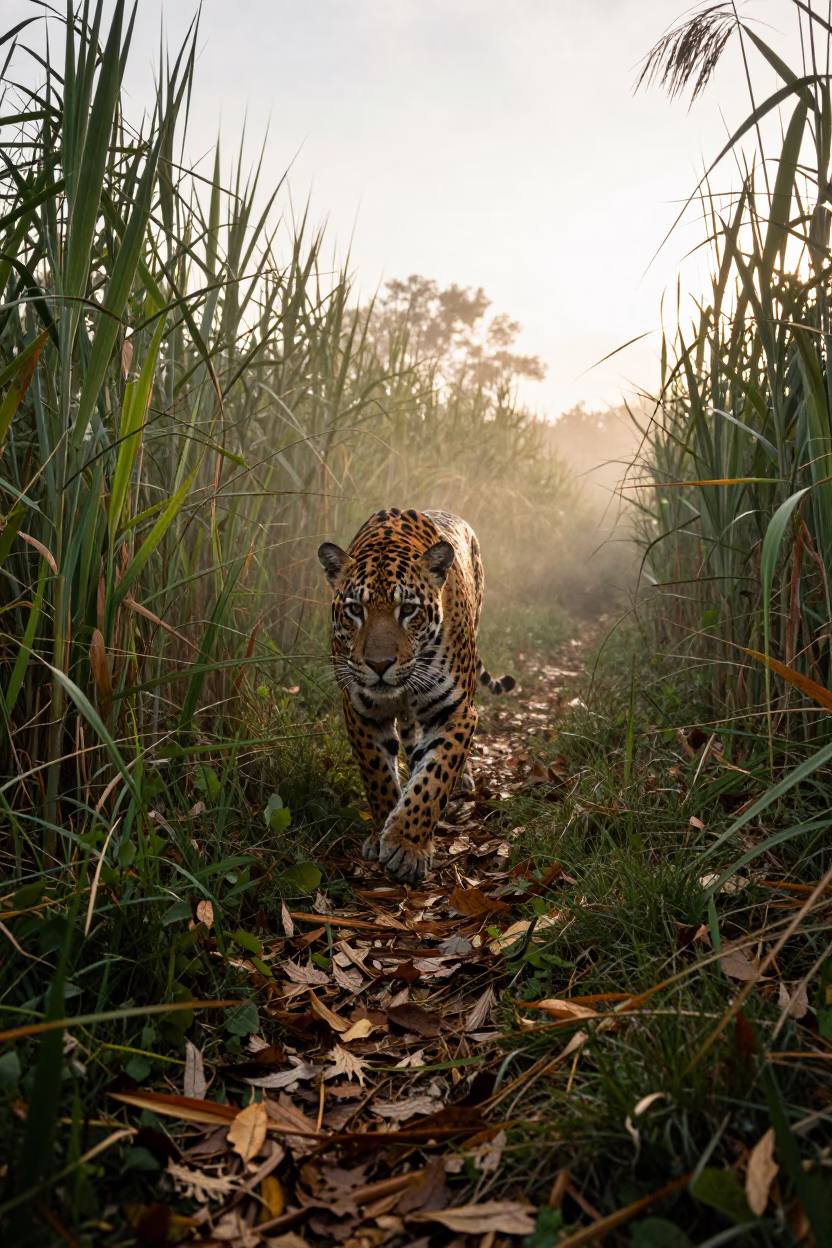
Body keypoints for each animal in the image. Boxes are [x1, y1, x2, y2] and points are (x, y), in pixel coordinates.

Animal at [318, 507, 514, 884]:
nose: (380, 664)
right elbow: (377, 776)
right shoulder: (360, 711)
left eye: (408, 610)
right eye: (355, 610)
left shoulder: (457, 711)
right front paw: (383, 831)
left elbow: (435, 778)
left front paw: (407, 846)